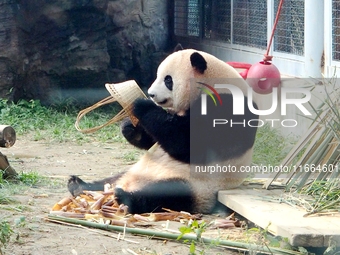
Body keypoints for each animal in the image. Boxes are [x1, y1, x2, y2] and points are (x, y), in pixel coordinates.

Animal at [67, 47, 258, 213]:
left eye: (168, 80)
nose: (151, 94)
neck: (216, 83)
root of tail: (129, 183)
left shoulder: (228, 108)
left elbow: (188, 144)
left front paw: (142, 105)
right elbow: (156, 139)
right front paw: (129, 127)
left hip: (198, 187)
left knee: (169, 194)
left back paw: (126, 198)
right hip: (131, 171)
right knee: (109, 180)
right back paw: (79, 185)